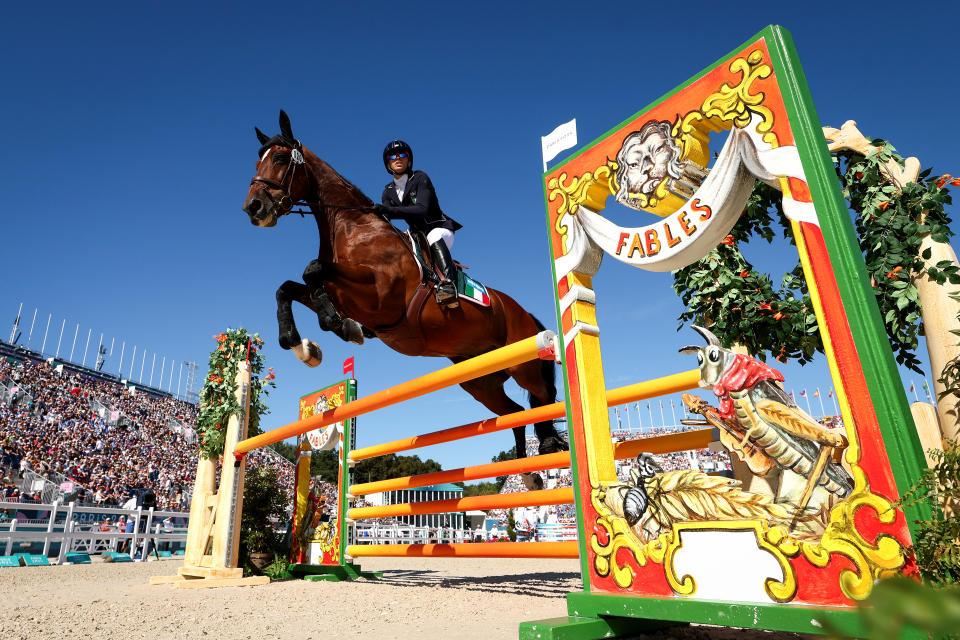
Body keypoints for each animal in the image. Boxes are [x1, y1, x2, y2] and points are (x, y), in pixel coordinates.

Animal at [242, 110, 568, 460]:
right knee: (515, 414)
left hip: (525, 363)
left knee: (542, 401)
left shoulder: (380, 295)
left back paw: (547, 450)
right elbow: (288, 286)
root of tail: (525, 314)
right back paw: (528, 469)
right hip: (481, 381)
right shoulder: (343, 294)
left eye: (278, 158)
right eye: (256, 162)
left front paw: (336, 326)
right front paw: (302, 346)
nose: (253, 208)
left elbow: (312, 269)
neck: (352, 226)